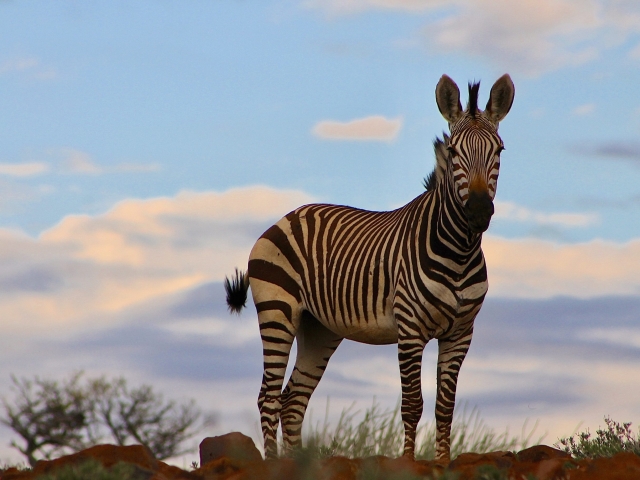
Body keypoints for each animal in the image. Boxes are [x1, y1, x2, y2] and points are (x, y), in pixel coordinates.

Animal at [224, 74, 515, 463]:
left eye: (499, 150)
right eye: (454, 152)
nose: (480, 212)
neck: (459, 250)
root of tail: (287, 216)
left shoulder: (460, 333)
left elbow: (445, 407)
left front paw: (442, 463)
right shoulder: (410, 329)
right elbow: (412, 404)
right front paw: (408, 463)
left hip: (318, 327)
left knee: (292, 401)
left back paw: (297, 466)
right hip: (278, 311)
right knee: (268, 398)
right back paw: (273, 464)